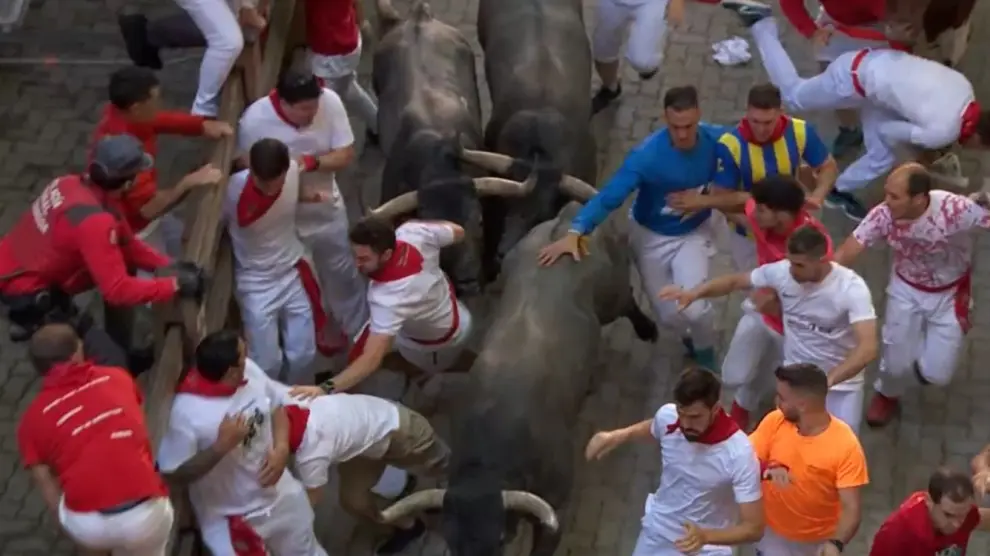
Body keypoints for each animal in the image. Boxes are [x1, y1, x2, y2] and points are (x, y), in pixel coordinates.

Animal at [377, 203, 659, 556]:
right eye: (451, 541)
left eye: (499, 537)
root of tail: (568, 219)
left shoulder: (555, 507)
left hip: (613, 295)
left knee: (628, 301)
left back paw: (648, 330)